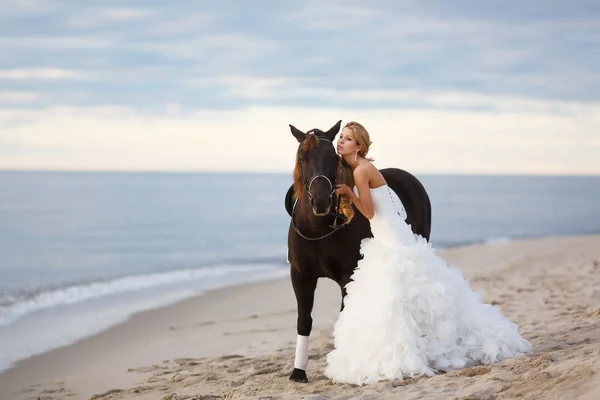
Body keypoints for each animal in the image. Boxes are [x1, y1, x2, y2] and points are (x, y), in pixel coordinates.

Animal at [286, 120, 432, 382]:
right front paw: (298, 371)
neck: (317, 228)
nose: (321, 201)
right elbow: (304, 321)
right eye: (303, 157)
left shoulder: (348, 276)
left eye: (333, 157)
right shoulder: (301, 276)